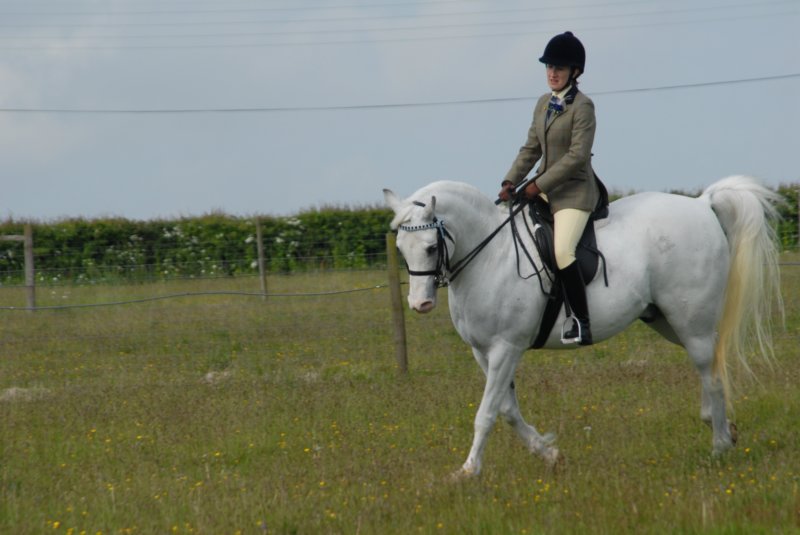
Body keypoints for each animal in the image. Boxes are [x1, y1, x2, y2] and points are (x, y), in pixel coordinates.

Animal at [382, 176, 780, 478]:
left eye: (430, 247)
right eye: (401, 246)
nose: (420, 304)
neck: (491, 256)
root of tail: (701, 204)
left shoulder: (506, 348)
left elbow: (487, 413)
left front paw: (467, 471)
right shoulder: (483, 352)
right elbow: (508, 410)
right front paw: (548, 453)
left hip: (690, 319)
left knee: (710, 372)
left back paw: (719, 447)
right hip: (669, 320)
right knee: (711, 361)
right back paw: (721, 426)